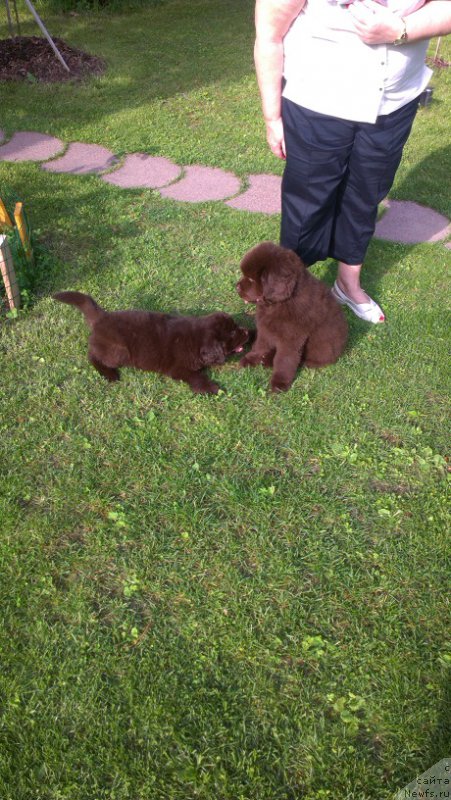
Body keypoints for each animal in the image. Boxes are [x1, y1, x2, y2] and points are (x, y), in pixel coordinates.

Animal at [55, 292, 251, 396]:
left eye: (236, 326)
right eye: (232, 333)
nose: (247, 332)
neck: (196, 340)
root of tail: (102, 317)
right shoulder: (179, 369)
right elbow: (196, 377)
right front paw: (211, 388)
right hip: (119, 351)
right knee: (93, 356)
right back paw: (109, 374)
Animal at [237, 244, 350, 394]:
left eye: (250, 279)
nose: (237, 287)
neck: (280, 303)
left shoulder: (291, 340)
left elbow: (284, 360)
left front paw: (279, 383)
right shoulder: (265, 329)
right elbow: (260, 345)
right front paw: (250, 359)